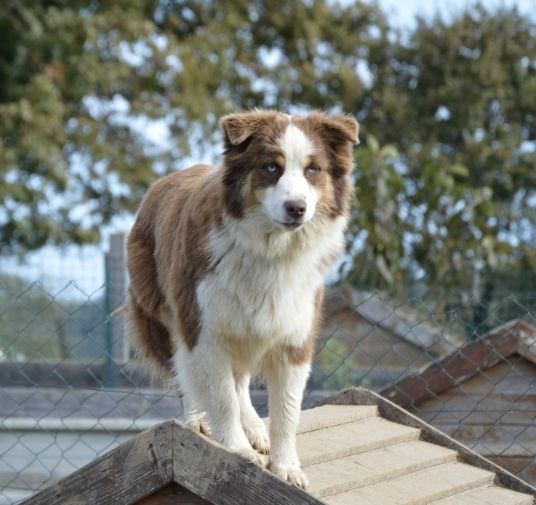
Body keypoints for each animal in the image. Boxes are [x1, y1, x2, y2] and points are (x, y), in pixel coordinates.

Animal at [126, 108, 358, 486]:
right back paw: (198, 420)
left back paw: (254, 429)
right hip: (163, 310)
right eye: (271, 167)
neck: (270, 249)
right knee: (185, 370)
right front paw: (236, 449)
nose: (296, 208)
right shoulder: (204, 327)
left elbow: (287, 409)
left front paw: (286, 466)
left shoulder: (294, 335)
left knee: (241, 381)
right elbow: (221, 397)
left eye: (313, 169)